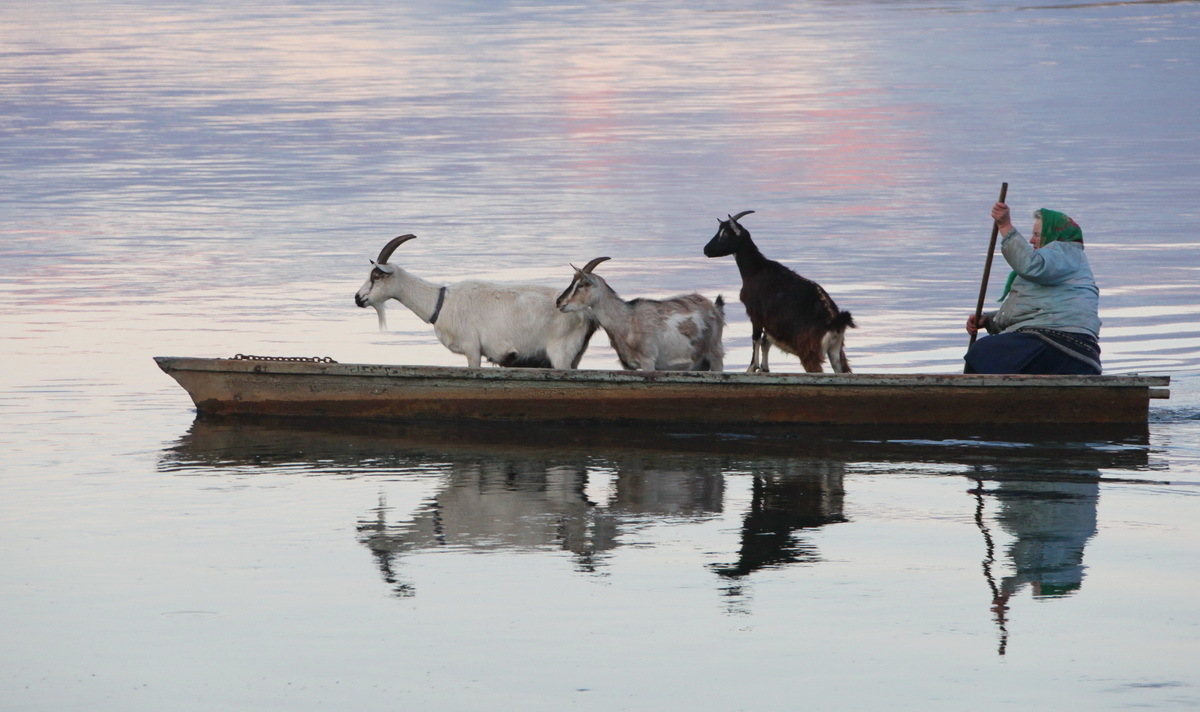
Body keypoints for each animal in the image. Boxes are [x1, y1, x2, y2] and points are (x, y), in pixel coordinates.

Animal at [355, 234, 600, 369]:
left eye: (376, 276)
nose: (358, 298)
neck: (440, 303)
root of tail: (588, 315)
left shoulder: (471, 346)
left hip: (561, 352)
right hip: (575, 354)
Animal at [552, 258, 720, 374]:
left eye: (580, 285)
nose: (559, 302)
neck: (627, 320)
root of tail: (713, 306)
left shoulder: (648, 361)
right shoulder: (626, 364)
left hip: (715, 353)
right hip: (699, 363)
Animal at [700, 207, 859, 372]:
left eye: (725, 233)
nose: (706, 250)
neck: (755, 269)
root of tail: (835, 320)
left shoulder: (756, 314)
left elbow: (756, 339)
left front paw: (752, 367)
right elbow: (765, 342)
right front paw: (764, 368)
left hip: (809, 350)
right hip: (836, 351)